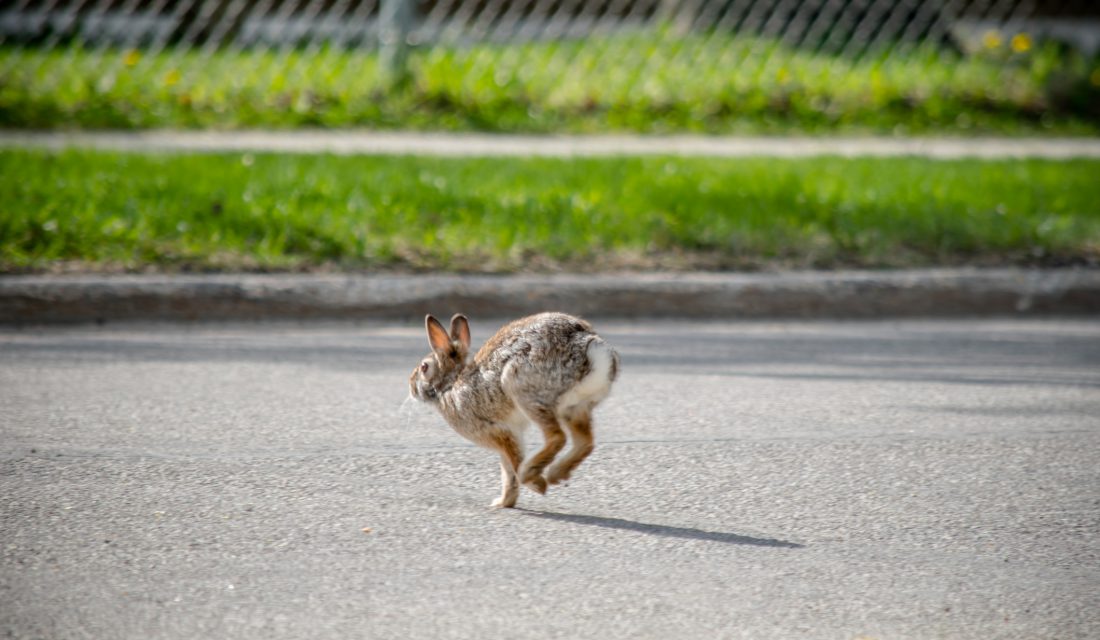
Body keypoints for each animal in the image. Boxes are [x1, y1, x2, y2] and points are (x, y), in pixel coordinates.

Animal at [413, 314, 620, 510]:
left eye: (424, 367)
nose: (411, 388)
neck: (451, 382)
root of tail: (590, 351)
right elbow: (507, 472)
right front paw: (503, 503)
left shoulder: (496, 430)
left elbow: (514, 462)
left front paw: (537, 486)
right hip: (575, 408)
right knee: (585, 442)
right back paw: (556, 474)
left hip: (521, 388)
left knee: (557, 437)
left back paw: (530, 474)